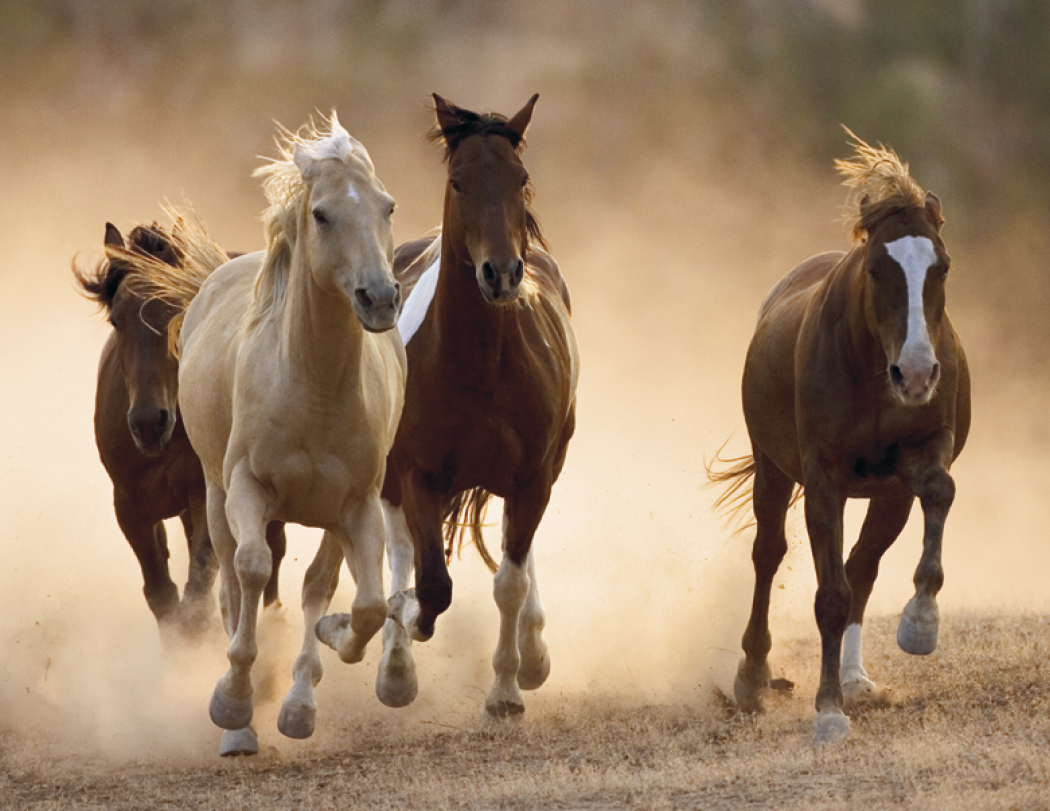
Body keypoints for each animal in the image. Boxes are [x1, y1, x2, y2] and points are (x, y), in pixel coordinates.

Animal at [74, 219, 287, 637]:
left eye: (178, 310)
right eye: (116, 320)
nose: (147, 423)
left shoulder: (204, 496)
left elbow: (197, 593)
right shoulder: (130, 505)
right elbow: (162, 595)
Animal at [136, 114, 405, 756]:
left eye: (387, 206)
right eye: (322, 215)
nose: (380, 299)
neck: (314, 386)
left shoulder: (356, 506)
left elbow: (359, 603)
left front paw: (314, 675)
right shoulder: (247, 488)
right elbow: (252, 571)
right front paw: (233, 700)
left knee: (313, 586)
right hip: (213, 497)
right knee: (234, 583)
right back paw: (241, 721)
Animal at [323, 94, 579, 721]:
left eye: (520, 178)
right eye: (459, 181)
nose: (502, 274)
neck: (480, 365)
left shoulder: (533, 477)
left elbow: (509, 580)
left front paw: (508, 688)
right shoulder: (418, 475)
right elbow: (431, 585)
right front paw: (399, 629)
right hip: (393, 478)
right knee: (400, 552)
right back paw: (394, 664)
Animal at [711, 133, 971, 742]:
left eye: (943, 267)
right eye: (875, 269)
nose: (916, 373)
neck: (872, 368)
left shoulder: (920, 457)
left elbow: (939, 493)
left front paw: (920, 624)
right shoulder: (823, 481)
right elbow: (828, 595)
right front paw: (828, 710)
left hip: (886, 496)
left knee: (863, 567)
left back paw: (855, 677)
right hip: (774, 471)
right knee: (769, 554)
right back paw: (753, 677)